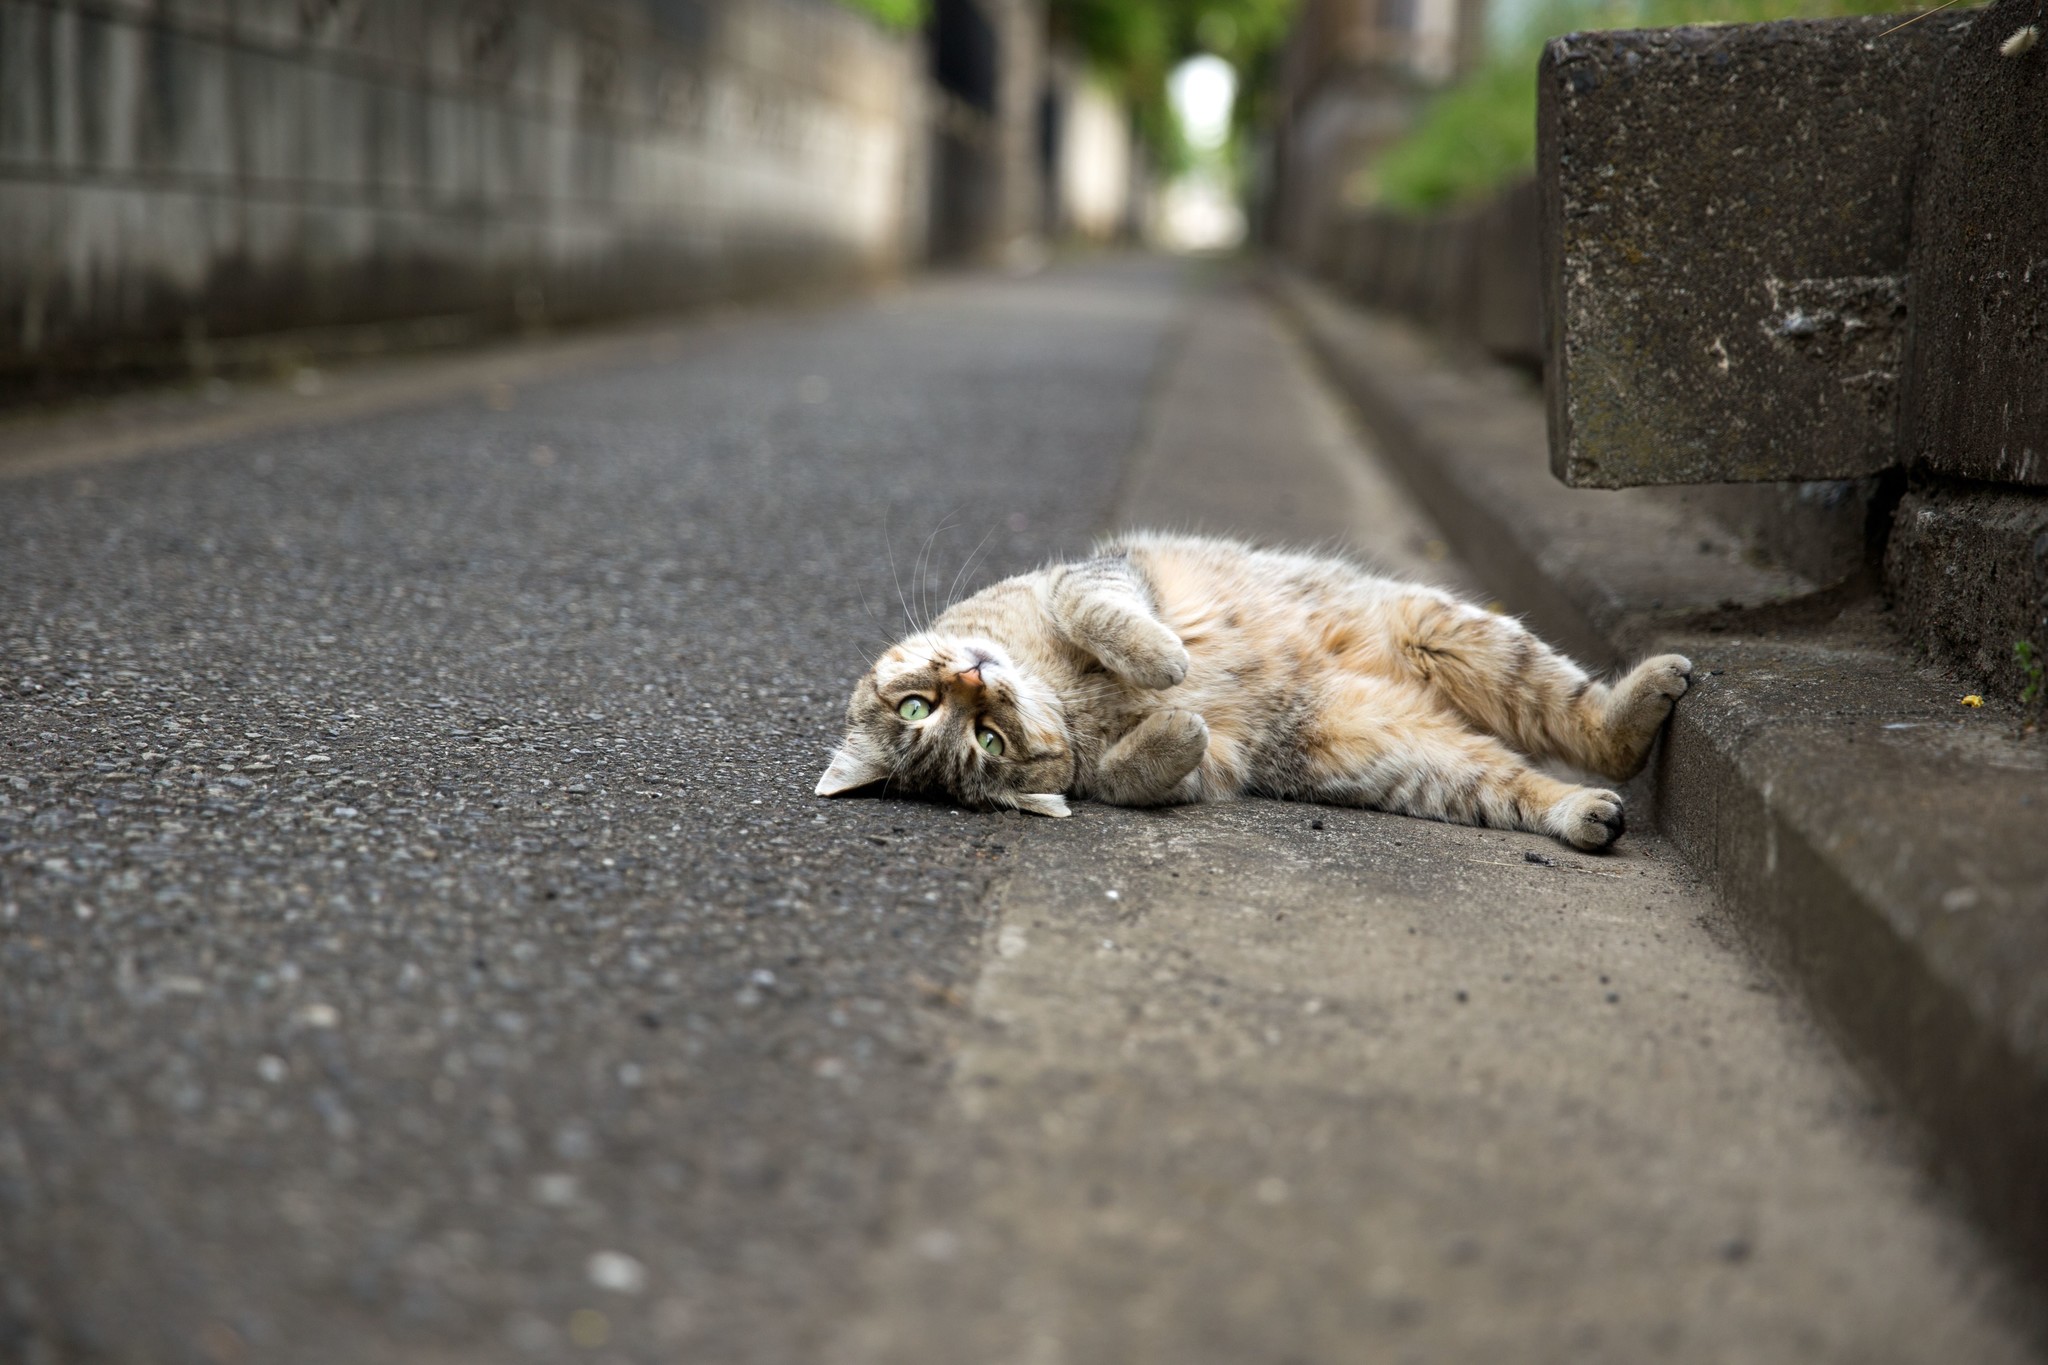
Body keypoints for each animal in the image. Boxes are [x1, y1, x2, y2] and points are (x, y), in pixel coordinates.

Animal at [815, 532, 1695, 843]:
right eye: (983, 743)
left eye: (919, 705)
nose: (973, 680)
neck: (1064, 694)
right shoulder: (1178, 775)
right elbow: (1132, 776)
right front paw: (1176, 718)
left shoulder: (1090, 573)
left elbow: (1097, 612)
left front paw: (1164, 659)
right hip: (1392, 753)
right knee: (1530, 777)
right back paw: (1585, 810)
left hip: (1444, 629)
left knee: (1578, 716)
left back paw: (1643, 693)